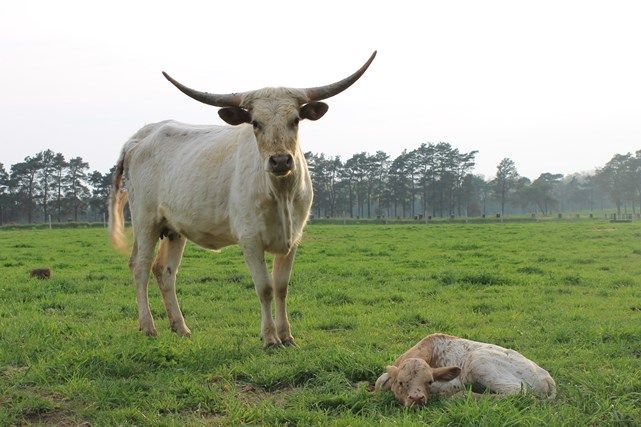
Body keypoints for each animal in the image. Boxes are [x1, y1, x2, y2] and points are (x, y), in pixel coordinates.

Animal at [106, 52, 376, 348]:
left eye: (295, 119)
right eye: (256, 123)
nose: (280, 160)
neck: (280, 194)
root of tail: (141, 136)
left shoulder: (293, 238)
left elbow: (281, 287)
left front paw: (286, 335)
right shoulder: (250, 239)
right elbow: (265, 288)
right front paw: (270, 338)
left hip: (173, 228)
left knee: (164, 271)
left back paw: (181, 327)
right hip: (145, 220)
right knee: (140, 266)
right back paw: (148, 327)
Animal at [376, 334, 556, 408]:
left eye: (429, 381)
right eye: (401, 382)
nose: (416, 398)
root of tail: (546, 376)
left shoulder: (455, 382)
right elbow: (380, 382)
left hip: (478, 360)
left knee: (518, 393)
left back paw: (461, 397)